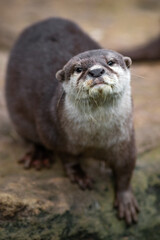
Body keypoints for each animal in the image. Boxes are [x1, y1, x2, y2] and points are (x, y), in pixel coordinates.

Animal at [5, 17, 139, 225]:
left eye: (110, 62)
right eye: (78, 69)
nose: (96, 71)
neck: (95, 138)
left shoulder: (125, 139)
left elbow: (126, 169)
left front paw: (126, 201)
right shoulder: (55, 133)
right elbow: (68, 157)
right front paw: (79, 175)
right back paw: (38, 155)